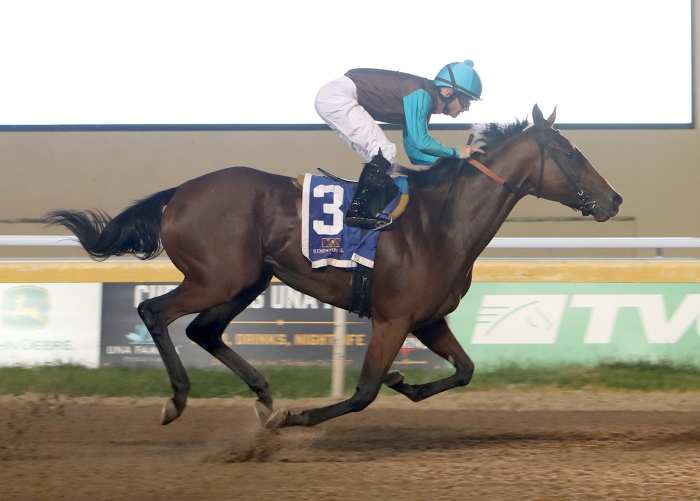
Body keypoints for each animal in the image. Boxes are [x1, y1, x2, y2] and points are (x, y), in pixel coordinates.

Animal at [14, 104, 622, 428]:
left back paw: (263, 396)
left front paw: (405, 381)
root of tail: (178, 194)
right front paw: (302, 418)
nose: (613, 199)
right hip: (217, 277)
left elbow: (465, 370)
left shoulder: (428, 319)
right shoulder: (393, 319)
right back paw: (180, 399)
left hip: (247, 279)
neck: (443, 221)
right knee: (155, 312)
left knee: (202, 330)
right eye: (571, 154)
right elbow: (364, 392)